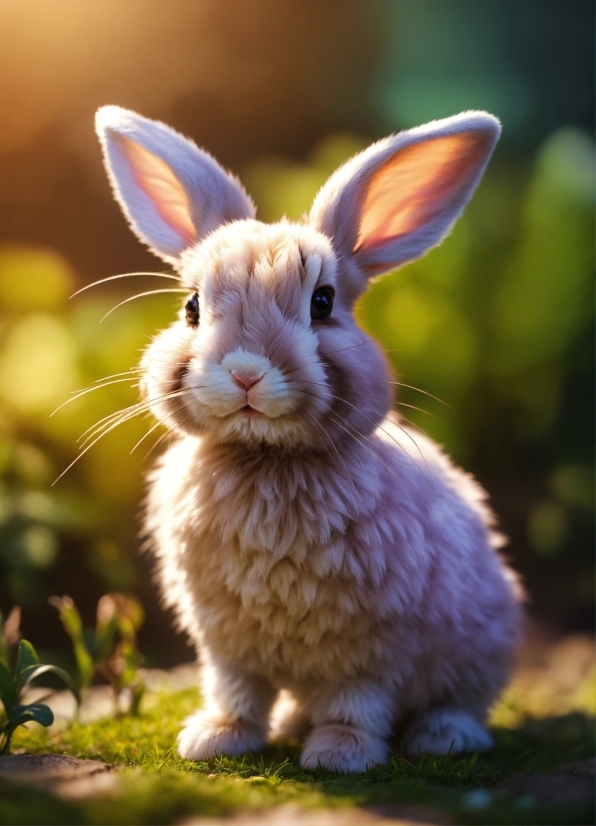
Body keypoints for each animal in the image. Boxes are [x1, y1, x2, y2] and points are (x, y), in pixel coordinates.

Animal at [93, 104, 520, 772]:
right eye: (191, 308)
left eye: (323, 303)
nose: (245, 370)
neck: (266, 459)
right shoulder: (226, 643)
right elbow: (235, 691)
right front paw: (214, 740)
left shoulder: (369, 644)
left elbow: (356, 701)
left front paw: (339, 756)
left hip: (481, 641)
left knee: (458, 700)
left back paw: (442, 738)